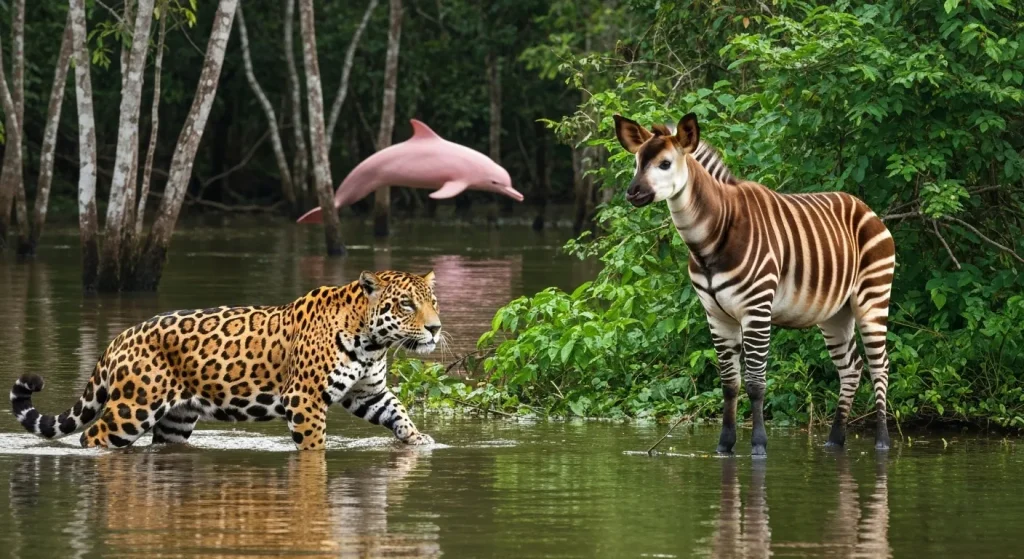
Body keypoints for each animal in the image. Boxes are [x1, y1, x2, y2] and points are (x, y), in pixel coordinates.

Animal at [9, 270, 441, 450]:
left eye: (432, 301)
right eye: (406, 304)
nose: (436, 328)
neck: (372, 342)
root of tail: (118, 339)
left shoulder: (367, 393)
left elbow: (398, 412)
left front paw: (420, 441)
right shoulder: (304, 399)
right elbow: (314, 445)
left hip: (177, 418)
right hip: (133, 408)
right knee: (92, 435)